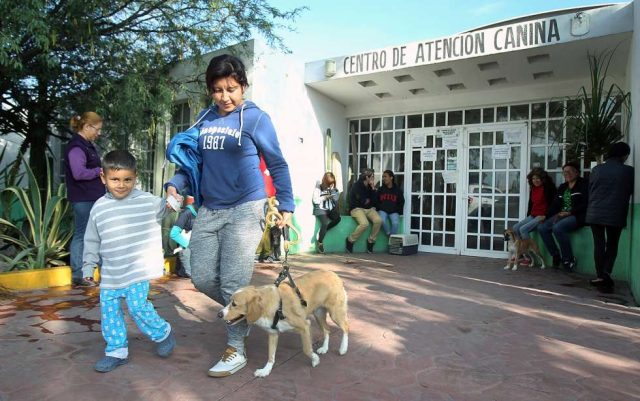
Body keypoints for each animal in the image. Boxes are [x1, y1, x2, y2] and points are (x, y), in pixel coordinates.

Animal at [220, 268, 350, 376]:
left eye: (234, 304)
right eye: (229, 301)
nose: (219, 314)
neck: (275, 305)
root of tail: (333, 273)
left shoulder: (305, 326)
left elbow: (306, 349)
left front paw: (315, 359)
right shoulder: (273, 333)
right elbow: (271, 356)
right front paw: (266, 370)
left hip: (335, 313)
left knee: (346, 327)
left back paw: (343, 348)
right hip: (318, 314)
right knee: (327, 329)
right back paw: (324, 348)